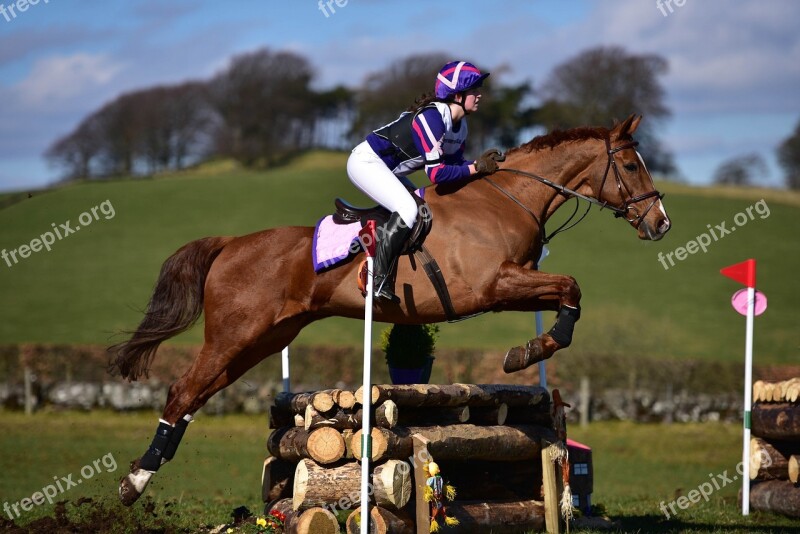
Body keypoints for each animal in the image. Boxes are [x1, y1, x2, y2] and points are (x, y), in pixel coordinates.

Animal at [112, 114, 668, 506]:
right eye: (631, 165)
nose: (660, 223)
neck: (507, 200)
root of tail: (230, 244)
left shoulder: (513, 285)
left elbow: (568, 293)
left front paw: (532, 348)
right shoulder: (493, 284)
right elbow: (570, 286)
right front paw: (528, 352)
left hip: (261, 340)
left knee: (197, 394)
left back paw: (144, 473)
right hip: (234, 336)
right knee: (183, 390)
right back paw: (134, 484)